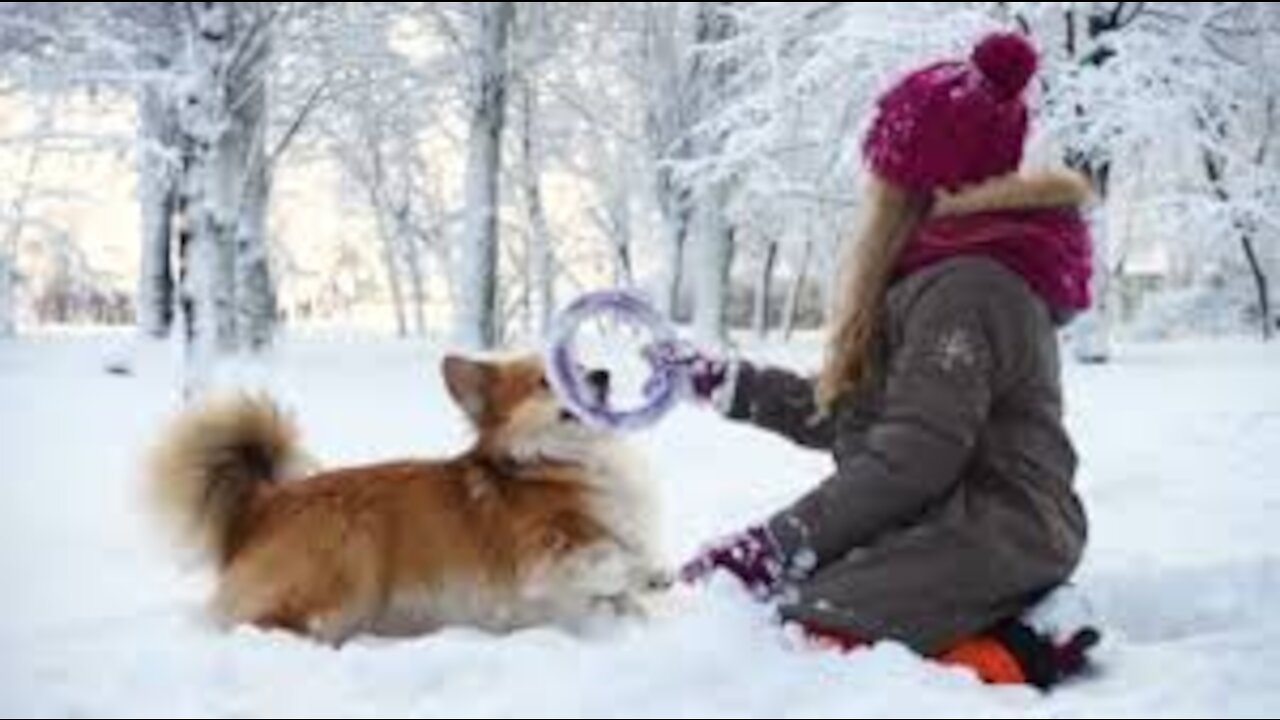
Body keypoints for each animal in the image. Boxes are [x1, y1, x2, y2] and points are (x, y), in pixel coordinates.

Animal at [148, 353, 665, 645]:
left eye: (577, 363)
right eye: (545, 379)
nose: (602, 374)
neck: (560, 462)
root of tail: (260, 508)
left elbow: (621, 587)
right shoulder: (542, 555)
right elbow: (609, 557)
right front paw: (649, 572)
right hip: (344, 566)